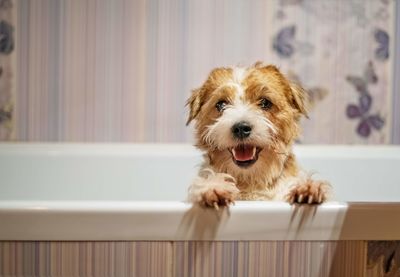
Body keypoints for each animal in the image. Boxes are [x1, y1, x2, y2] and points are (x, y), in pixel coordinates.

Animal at [186, 62, 330, 207]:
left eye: (265, 102)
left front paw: (306, 188)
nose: (241, 128)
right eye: (221, 104)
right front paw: (213, 187)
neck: (250, 180)